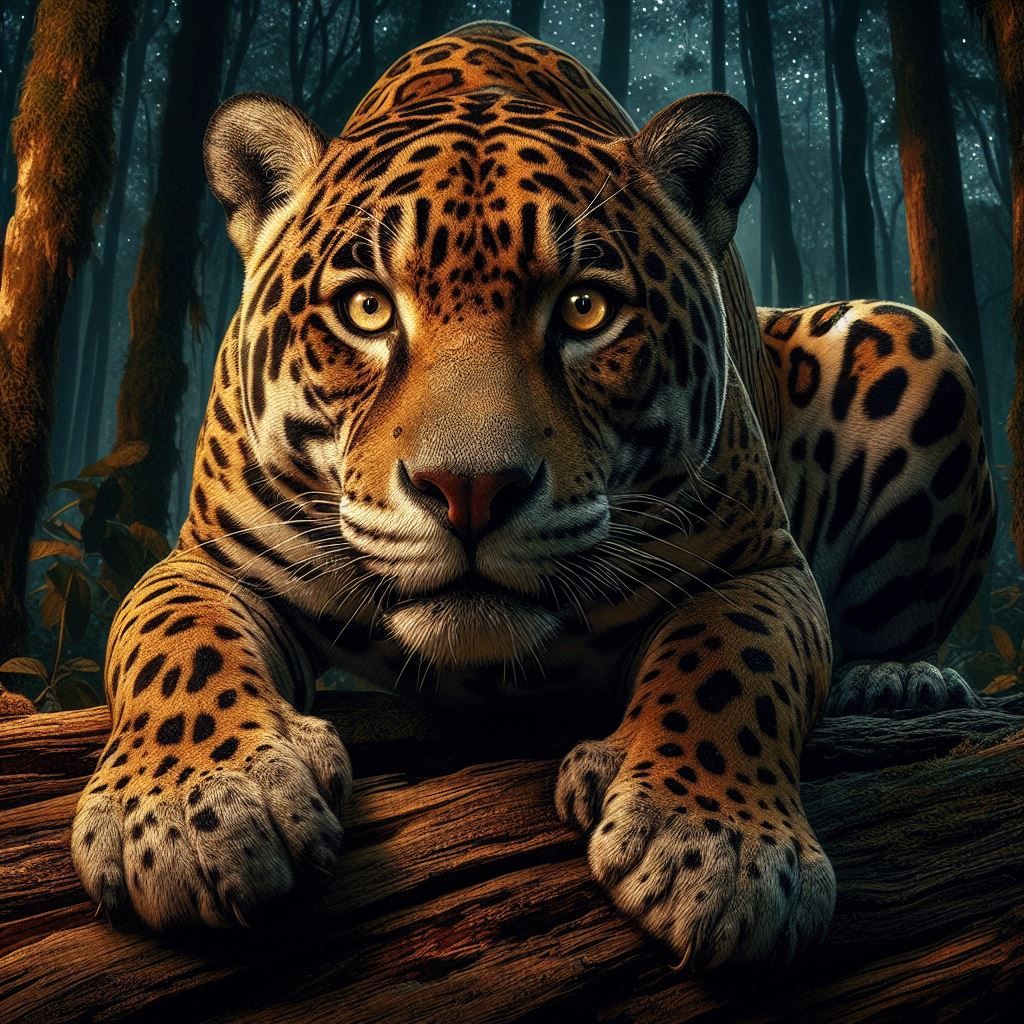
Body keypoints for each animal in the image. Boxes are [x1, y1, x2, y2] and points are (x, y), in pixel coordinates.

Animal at [71, 21, 994, 969]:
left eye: (585, 310)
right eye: (367, 309)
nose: (469, 491)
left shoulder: (759, 565)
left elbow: (733, 660)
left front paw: (717, 848)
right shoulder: (209, 559)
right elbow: (177, 642)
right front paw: (195, 814)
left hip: (909, 335)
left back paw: (899, 680)